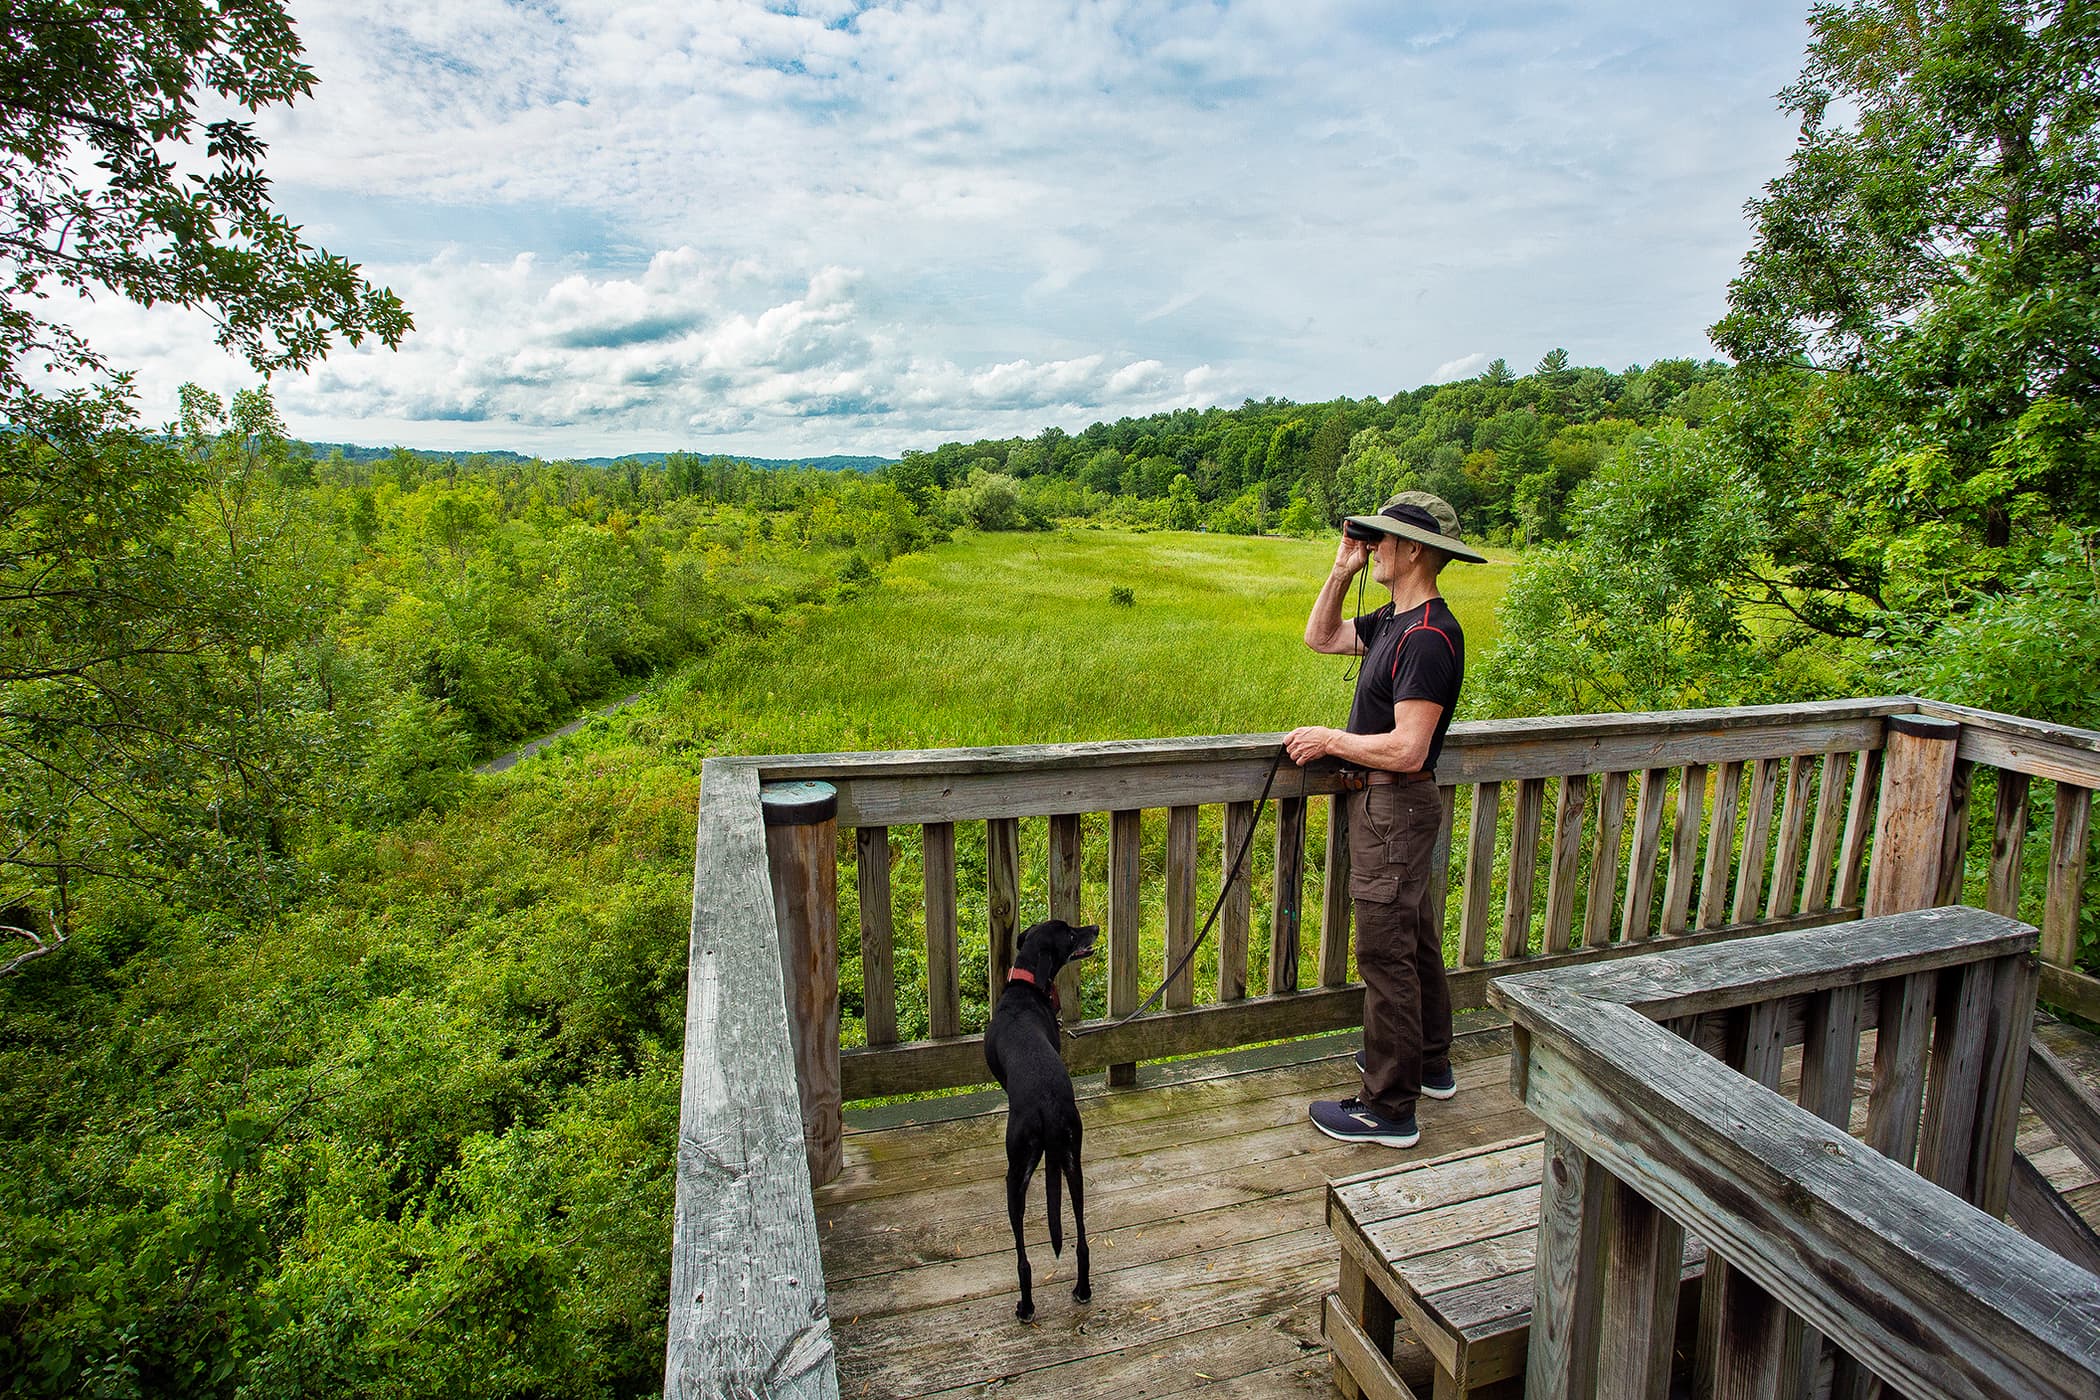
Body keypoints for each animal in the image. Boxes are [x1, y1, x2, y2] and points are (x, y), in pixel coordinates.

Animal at [986, 919, 1108, 1326]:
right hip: (1073, 1161)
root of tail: (1048, 1104)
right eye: (1069, 934)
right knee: (1082, 1241)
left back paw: (1025, 1307)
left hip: (1016, 1171)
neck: (1025, 990)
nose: (1095, 927)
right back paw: (1083, 1290)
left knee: (1023, 1259)